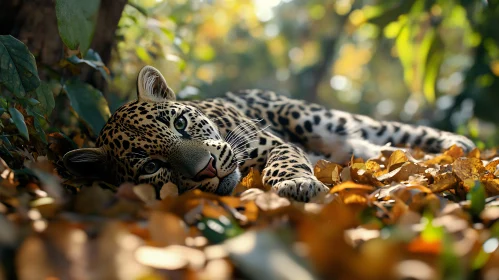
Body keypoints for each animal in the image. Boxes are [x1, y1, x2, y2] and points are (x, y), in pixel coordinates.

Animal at [62, 65, 476, 201]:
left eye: (179, 124)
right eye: (150, 166)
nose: (206, 168)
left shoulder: (272, 143)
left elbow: (285, 161)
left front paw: (296, 184)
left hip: (310, 118)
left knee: (388, 127)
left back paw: (456, 144)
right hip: (346, 144)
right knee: (372, 146)